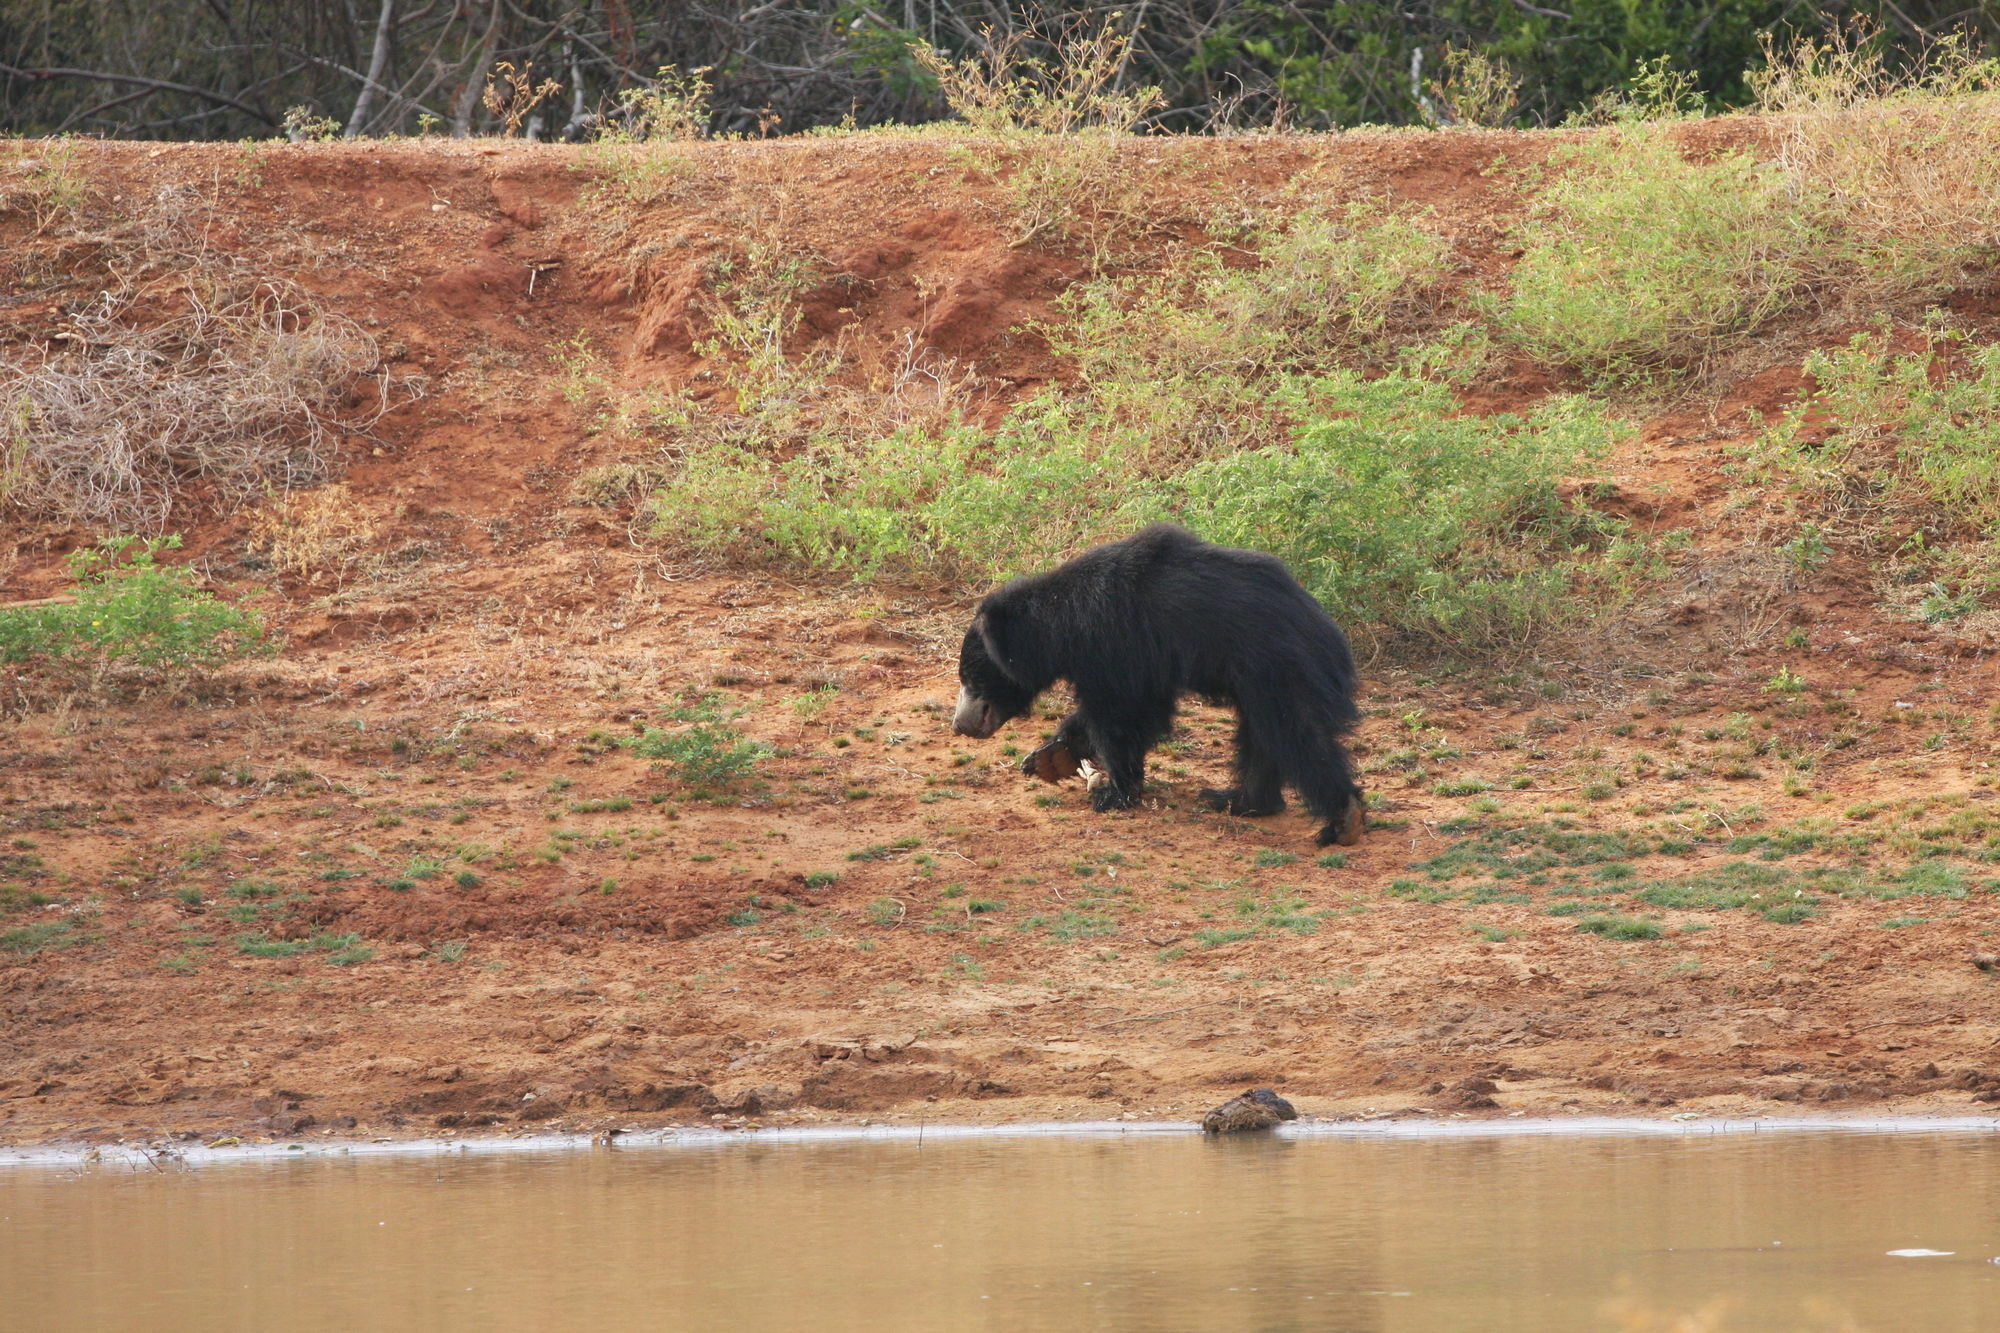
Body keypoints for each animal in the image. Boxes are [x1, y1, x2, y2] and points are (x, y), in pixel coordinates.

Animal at [948, 520, 1360, 840]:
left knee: (1294, 734)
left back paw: (1343, 818)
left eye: (971, 677)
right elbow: (1136, 707)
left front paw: (1113, 794)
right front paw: (1051, 757)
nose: (960, 725)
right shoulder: (1141, 661)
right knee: (1262, 738)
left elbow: (1121, 715)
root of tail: (1331, 633)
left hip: (1279, 668)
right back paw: (1238, 801)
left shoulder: (1116, 642)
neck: (1061, 623)